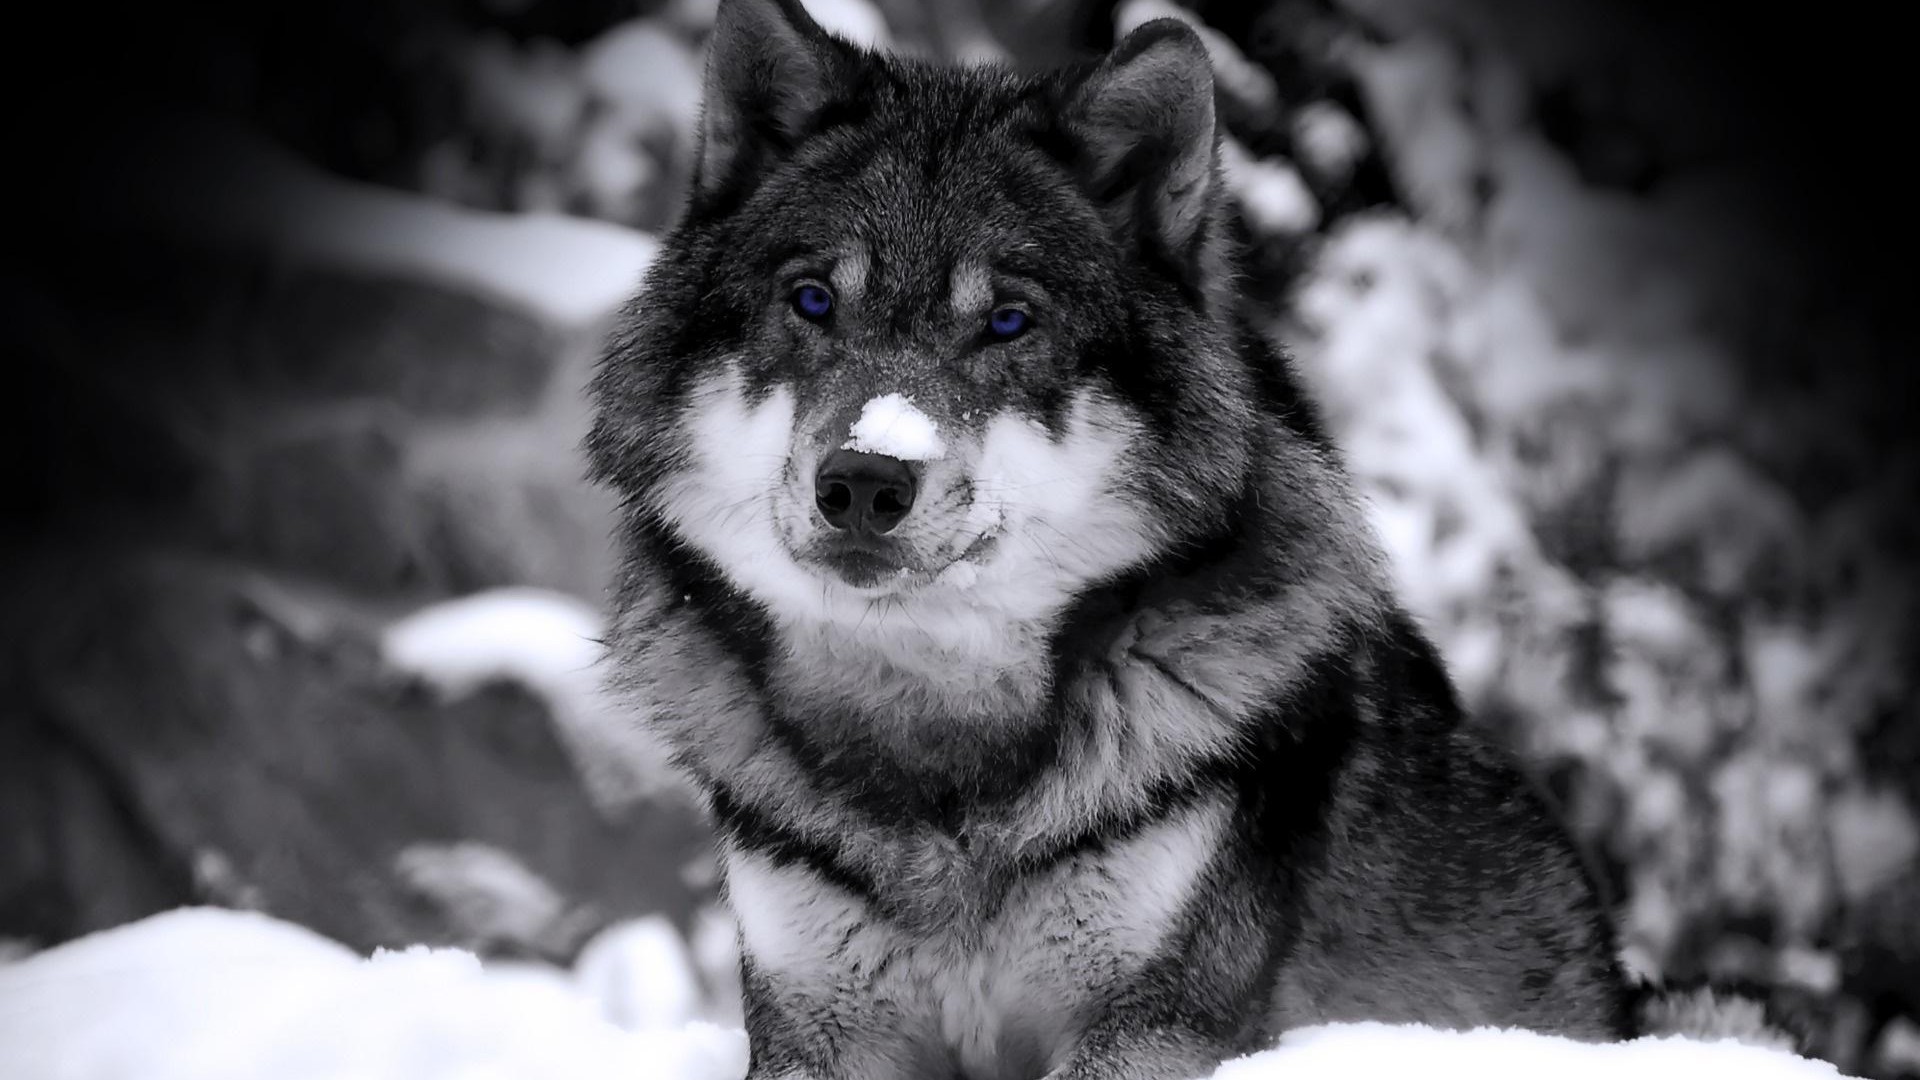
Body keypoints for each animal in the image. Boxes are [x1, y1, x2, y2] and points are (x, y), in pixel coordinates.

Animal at [586, 0, 1634, 1076]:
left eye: (1008, 322)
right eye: (812, 302)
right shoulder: (812, 1026)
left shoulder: (1152, 1021)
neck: (935, 752)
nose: (866, 479)